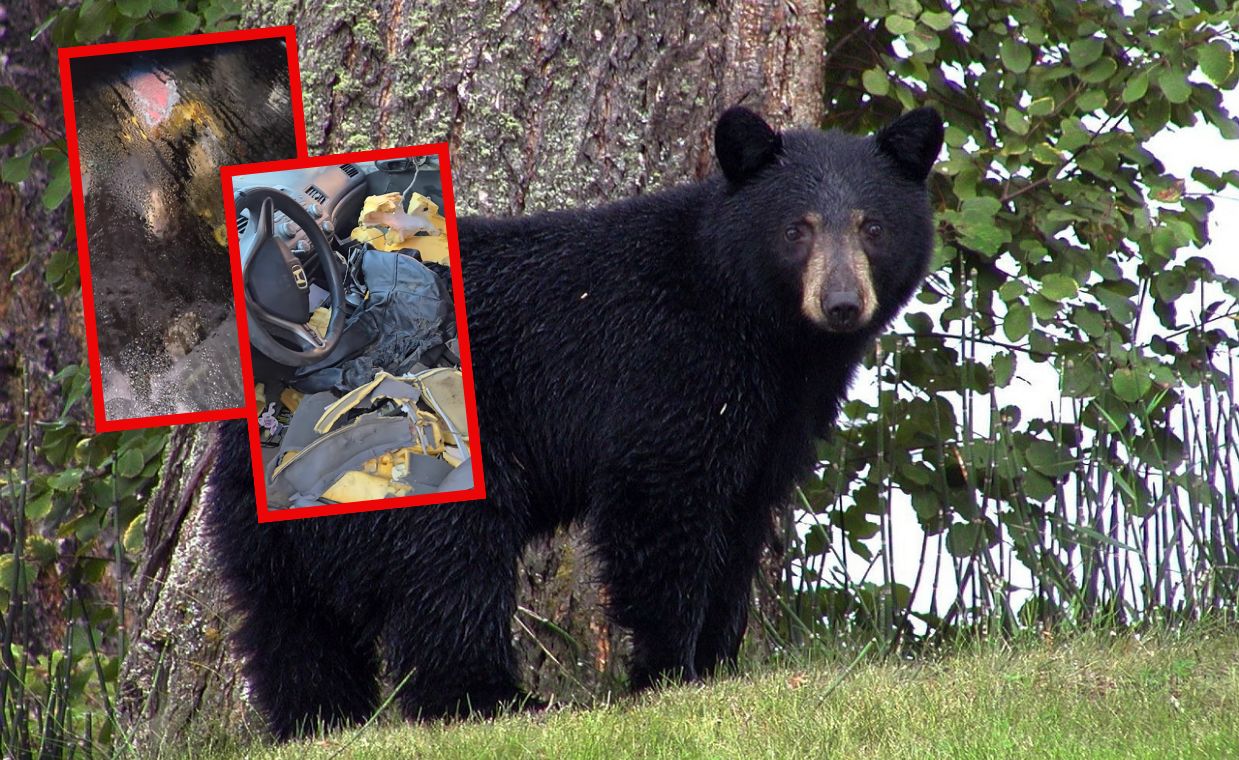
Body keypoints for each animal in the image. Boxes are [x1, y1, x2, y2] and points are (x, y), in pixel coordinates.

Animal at [203, 103, 941, 738]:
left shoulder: (777, 416)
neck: (761, 327)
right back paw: (492, 698)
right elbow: (661, 505)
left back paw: (318, 719)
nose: (841, 303)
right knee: (451, 569)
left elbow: (741, 521)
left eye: (872, 226)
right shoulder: (669, 366)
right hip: (435, 456)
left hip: (256, 519)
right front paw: (668, 671)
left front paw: (718, 662)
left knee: (288, 620)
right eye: (798, 228)